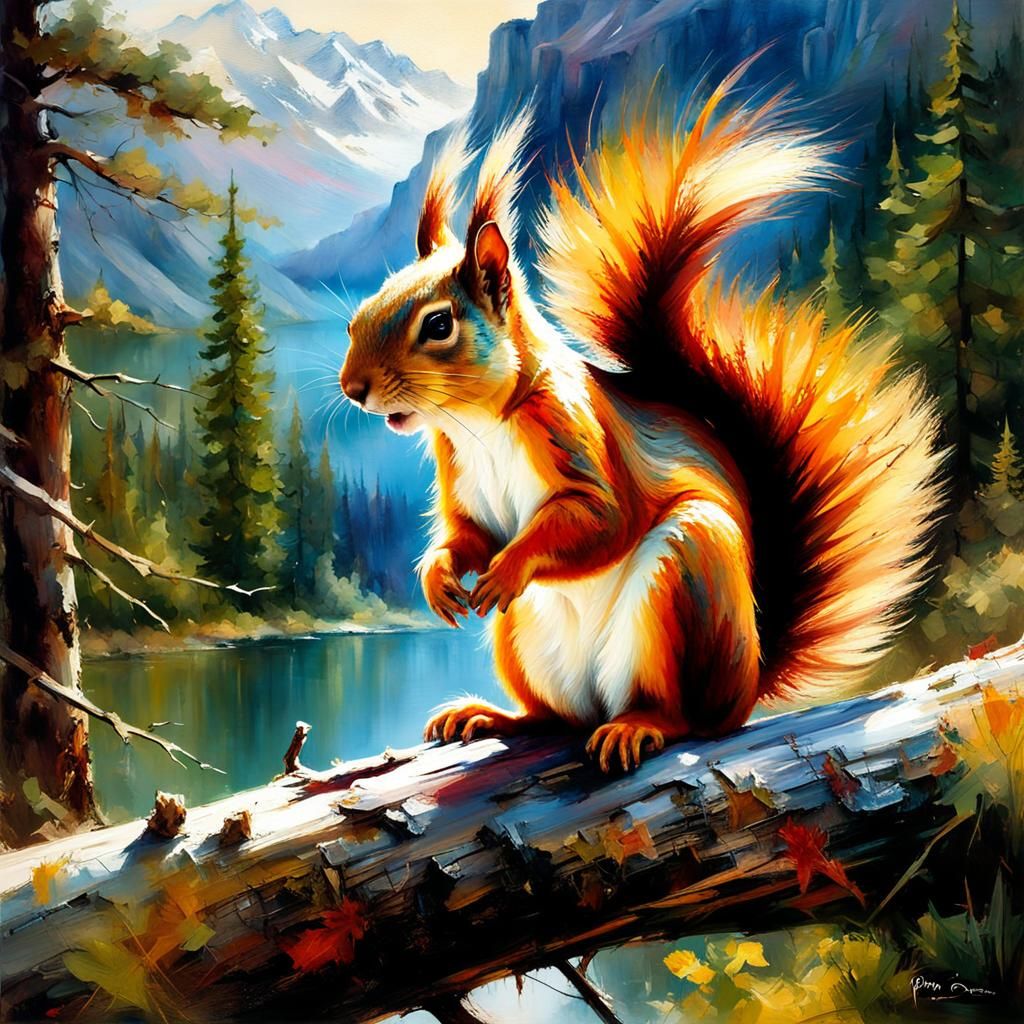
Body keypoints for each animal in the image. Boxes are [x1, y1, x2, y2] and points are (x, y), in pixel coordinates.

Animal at [339, 63, 944, 772]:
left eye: (438, 326)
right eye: (360, 314)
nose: (353, 389)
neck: (481, 424)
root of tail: (750, 678)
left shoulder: (580, 439)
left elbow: (601, 520)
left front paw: (511, 567)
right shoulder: (462, 479)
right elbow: (470, 534)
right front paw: (438, 575)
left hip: (687, 579)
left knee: (684, 717)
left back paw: (639, 725)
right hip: (524, 640)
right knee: (553, 718)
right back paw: (492, 715)